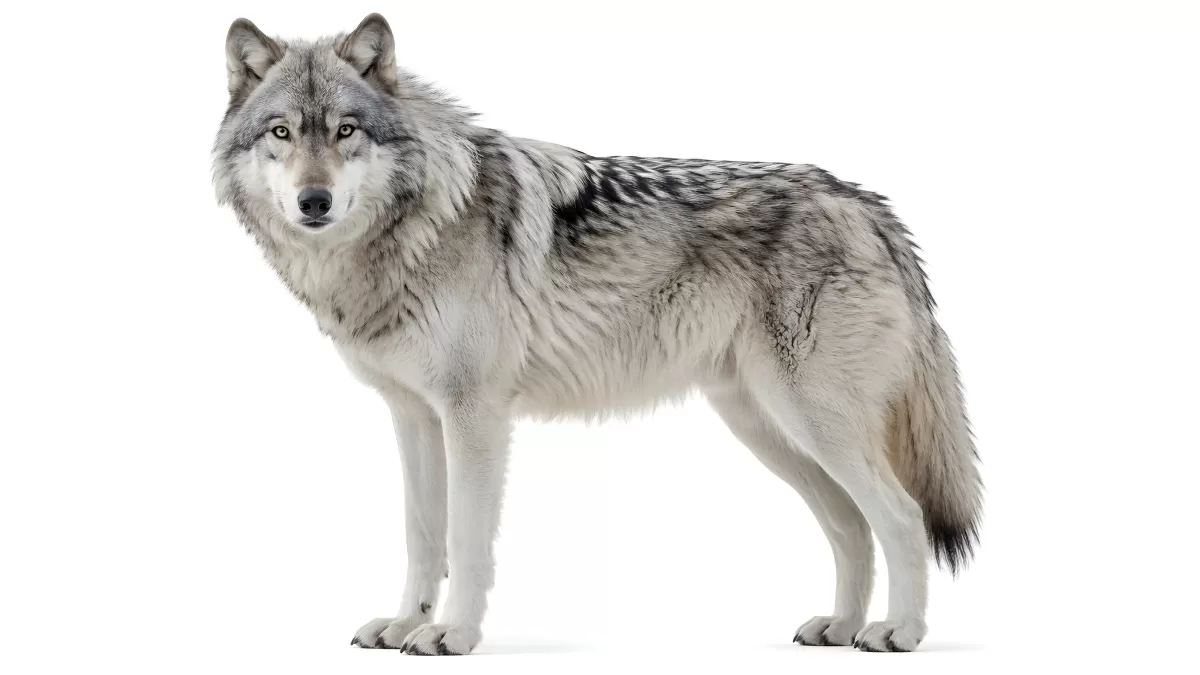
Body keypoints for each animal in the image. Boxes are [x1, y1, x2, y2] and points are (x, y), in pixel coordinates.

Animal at [212, 14, 982, 655]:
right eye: (281, 132)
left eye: (347, 131)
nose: (315, 202)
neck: (416, 225)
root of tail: (868, 204)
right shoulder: (413, 415)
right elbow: (422, 534)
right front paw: (407, 624)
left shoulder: (474, 414)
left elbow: (466, 536)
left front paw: (453, 635)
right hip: (768, 428)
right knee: (852, 526)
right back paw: (842, 625)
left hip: (813, 421)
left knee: (902, 516)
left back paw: (899, 632)